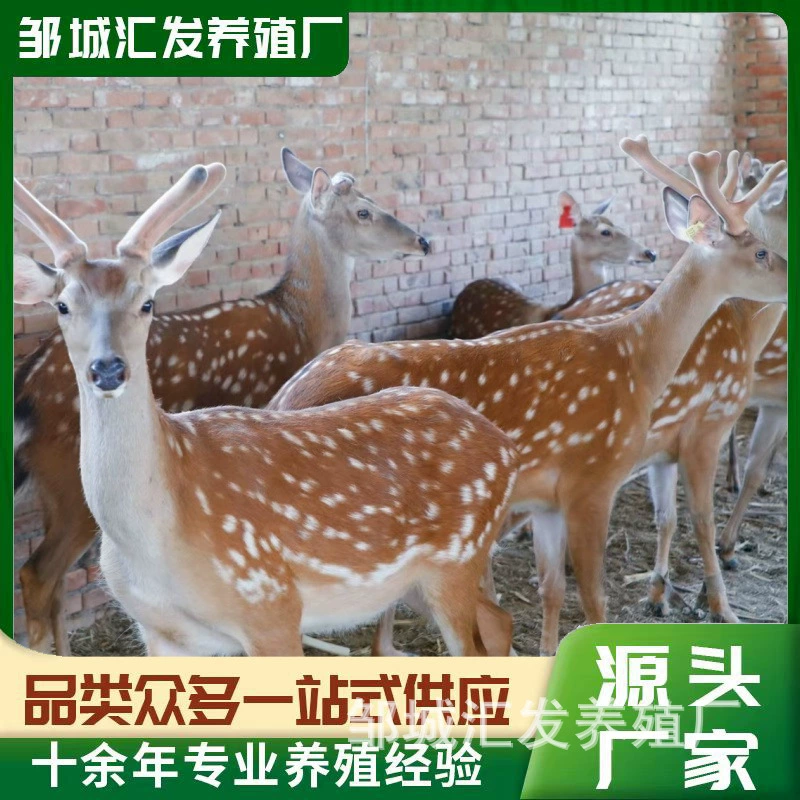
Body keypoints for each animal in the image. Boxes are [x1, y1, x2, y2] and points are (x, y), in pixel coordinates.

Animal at [12, 166, 519, 658]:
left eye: (147, 302)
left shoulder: (271, 605)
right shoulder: (169, 630)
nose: (422, 241)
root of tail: (505, 446)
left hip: (453, 561)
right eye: (62, 304)